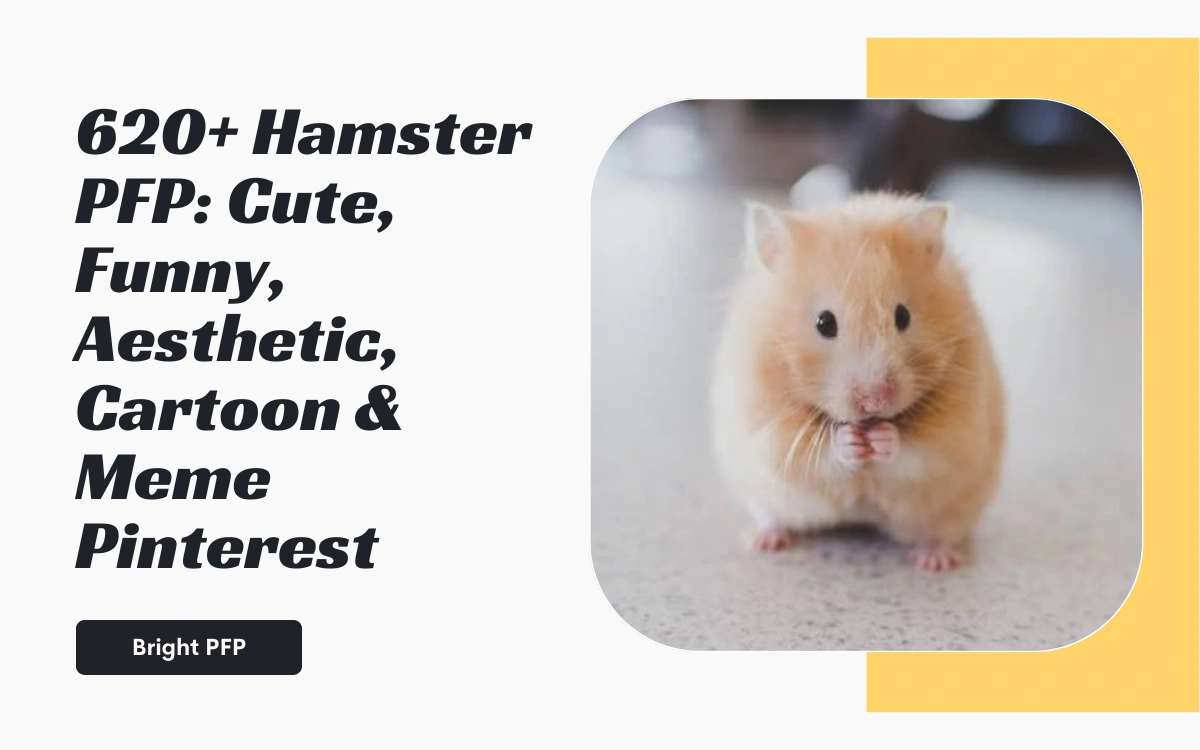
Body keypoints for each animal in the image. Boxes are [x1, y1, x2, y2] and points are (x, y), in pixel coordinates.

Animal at [709, 193, 1004, 571]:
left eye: (903, 316)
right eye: (824, 323)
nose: (874, 401)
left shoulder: (957, 431)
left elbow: (918, 451)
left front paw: (882, 438)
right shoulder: (768, 428)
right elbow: (814, 454)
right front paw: (850, 441)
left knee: (940, 532)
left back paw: (935, 561)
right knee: (774, 517)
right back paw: (763, 540)